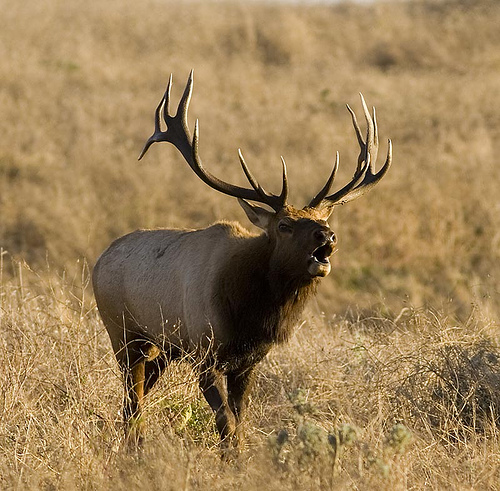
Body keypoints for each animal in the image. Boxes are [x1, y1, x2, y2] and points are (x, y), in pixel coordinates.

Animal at [92, 71, 392, 456]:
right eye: (284, 225)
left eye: (320, 219)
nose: (327, 235)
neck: (247, 313)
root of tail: (99, 260)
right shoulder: (204, 354)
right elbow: (227, 426)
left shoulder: (246, 364)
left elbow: (240, 422)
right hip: (123, 334)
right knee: (133, 401)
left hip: (162, 349)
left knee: (134, 401)